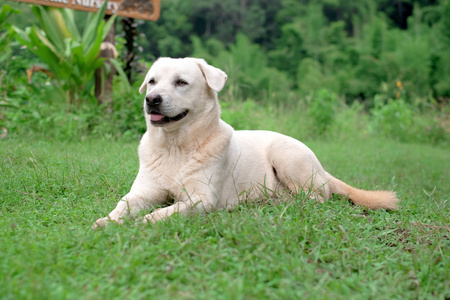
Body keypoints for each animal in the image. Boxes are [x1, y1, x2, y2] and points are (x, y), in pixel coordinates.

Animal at [90, 57, 398, 229]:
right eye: (152, 81)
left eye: (181, 82)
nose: (151, 99)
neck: (176, 146)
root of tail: (322, 168)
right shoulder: (143, 192)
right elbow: (123, 205)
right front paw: (108, 221)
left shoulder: (201, 199)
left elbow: (163, 212)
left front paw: (143, 223)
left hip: (286, 155)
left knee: (316, 197)